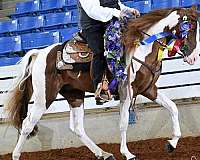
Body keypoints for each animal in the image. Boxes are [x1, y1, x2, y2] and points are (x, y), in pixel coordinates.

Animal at [3, 5, 199, 160]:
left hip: (74, 95)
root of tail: (39, 53)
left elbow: (172, 107)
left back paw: (103, 154)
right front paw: (128, 154)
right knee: (27, 124)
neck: (142, 48)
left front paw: (172, 143)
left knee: (77, 128)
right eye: (189, 28)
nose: (193, 57)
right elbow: (123, 122)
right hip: (44, 97)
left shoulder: (149, 89)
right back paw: (16, 155)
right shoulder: (126, 92)